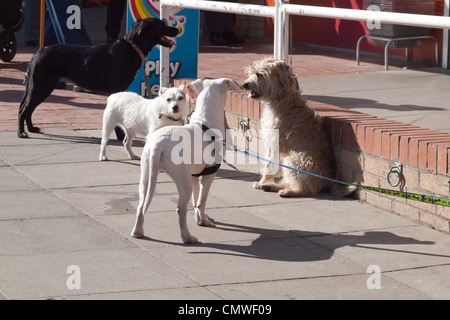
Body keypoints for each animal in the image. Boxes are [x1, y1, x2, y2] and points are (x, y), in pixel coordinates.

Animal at [18, 17, 179, 138]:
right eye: (162, 25)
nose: (177, 29)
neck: (131, 48)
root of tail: (37, 54)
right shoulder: (115, 90)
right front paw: (121, 137)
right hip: (39, 86)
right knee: (24, 109)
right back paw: (22, 133)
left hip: (45, 87)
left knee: (29, 109)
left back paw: (32, 129)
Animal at [131, 77, 239, 242]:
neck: (205, 119)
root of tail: (158, 143)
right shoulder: (209, 173)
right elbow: (202, 200)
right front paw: (203, 220)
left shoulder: (194, 175)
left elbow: (196, 199)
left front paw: (200, 218)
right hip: (183, 181)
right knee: (180, 209)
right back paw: (188, 238)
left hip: (146, 175)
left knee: (141, 205)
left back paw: (138, 232)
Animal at [243, 58, 356, 198]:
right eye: (251, 72)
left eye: (259, 74)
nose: (244, 84)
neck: (282, 98)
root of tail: (328, 181)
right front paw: (262, 183)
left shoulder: (274, 142)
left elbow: (269, 163)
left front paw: (262, 181)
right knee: (290, 182)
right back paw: (271, 186)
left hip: (294, 160)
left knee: (306, 190)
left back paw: (285, 191)